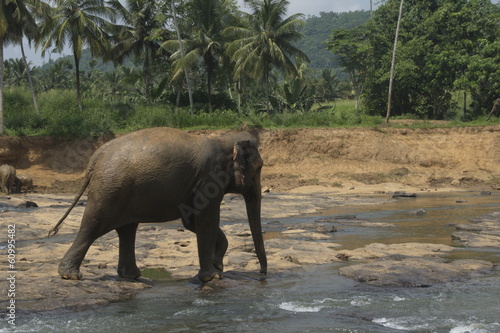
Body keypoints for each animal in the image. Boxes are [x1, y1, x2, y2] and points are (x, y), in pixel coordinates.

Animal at [49, 126, 268, 282]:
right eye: (259, 168)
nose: (262, 274)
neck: (225, 139)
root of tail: (94, 159)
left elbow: (191, 220)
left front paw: (218, 266)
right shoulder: (209, 178)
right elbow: (206, 220)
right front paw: (213, 276)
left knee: (126, 229)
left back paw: (131, 275)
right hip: (109, 189)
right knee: (93, 225)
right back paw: (70, 275)